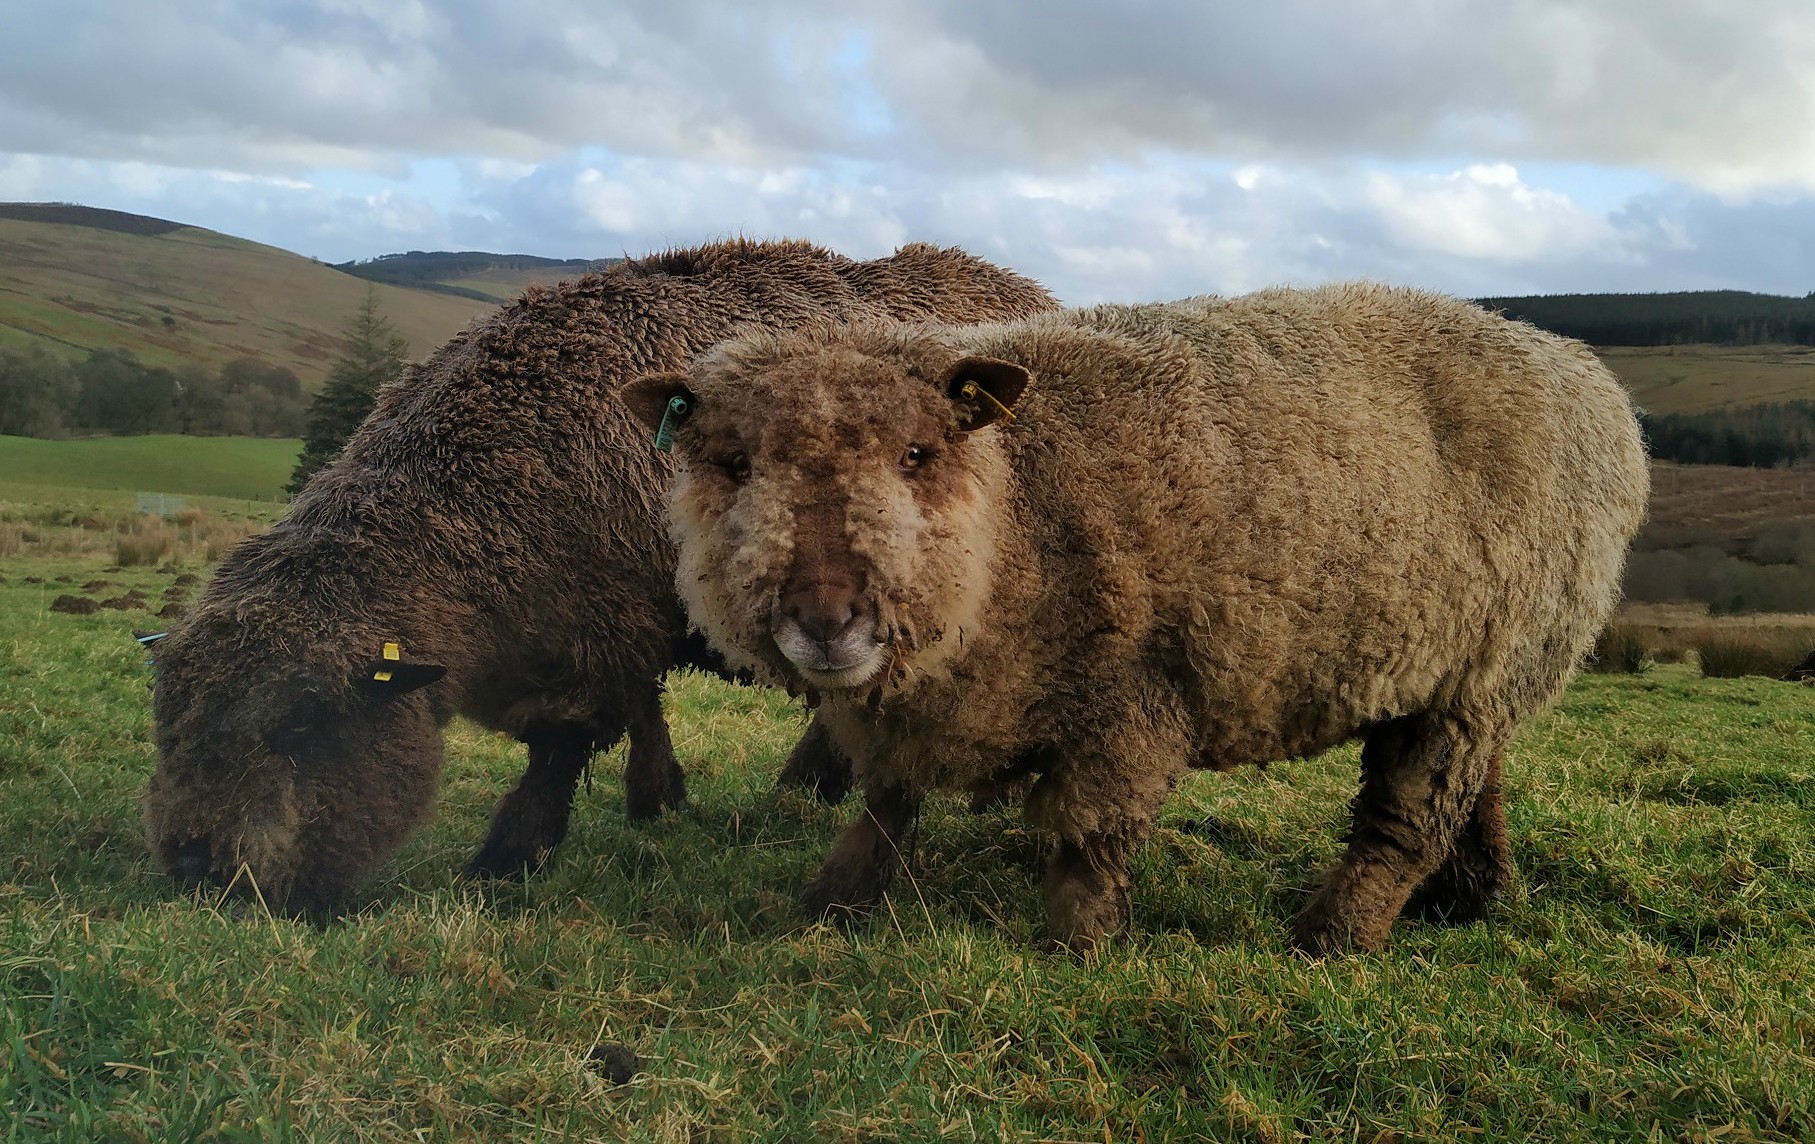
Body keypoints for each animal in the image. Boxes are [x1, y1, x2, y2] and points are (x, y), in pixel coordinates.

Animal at [143, 239, 1056, 916]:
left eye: (302, 725)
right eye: (169, 725)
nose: (195, 867)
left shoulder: (591, 641)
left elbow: (559, 751)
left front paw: (503, 861)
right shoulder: (614, 626)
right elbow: (643, 717)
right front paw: (658, 803)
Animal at [621, 283, 1649, 953]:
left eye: (918, 453)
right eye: (732, 464)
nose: (827, 619)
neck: (1016, 515)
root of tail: (1587, 377)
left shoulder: (1131, 697)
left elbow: (1088, 836)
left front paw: (1084, 947)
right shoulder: (915, 706)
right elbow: (886, 805)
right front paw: (832, 903)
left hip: (1488, 665)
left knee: (1407, 820)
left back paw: (1333, 937)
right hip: (1464, 669)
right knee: (1478, 782)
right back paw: (1466, 898)